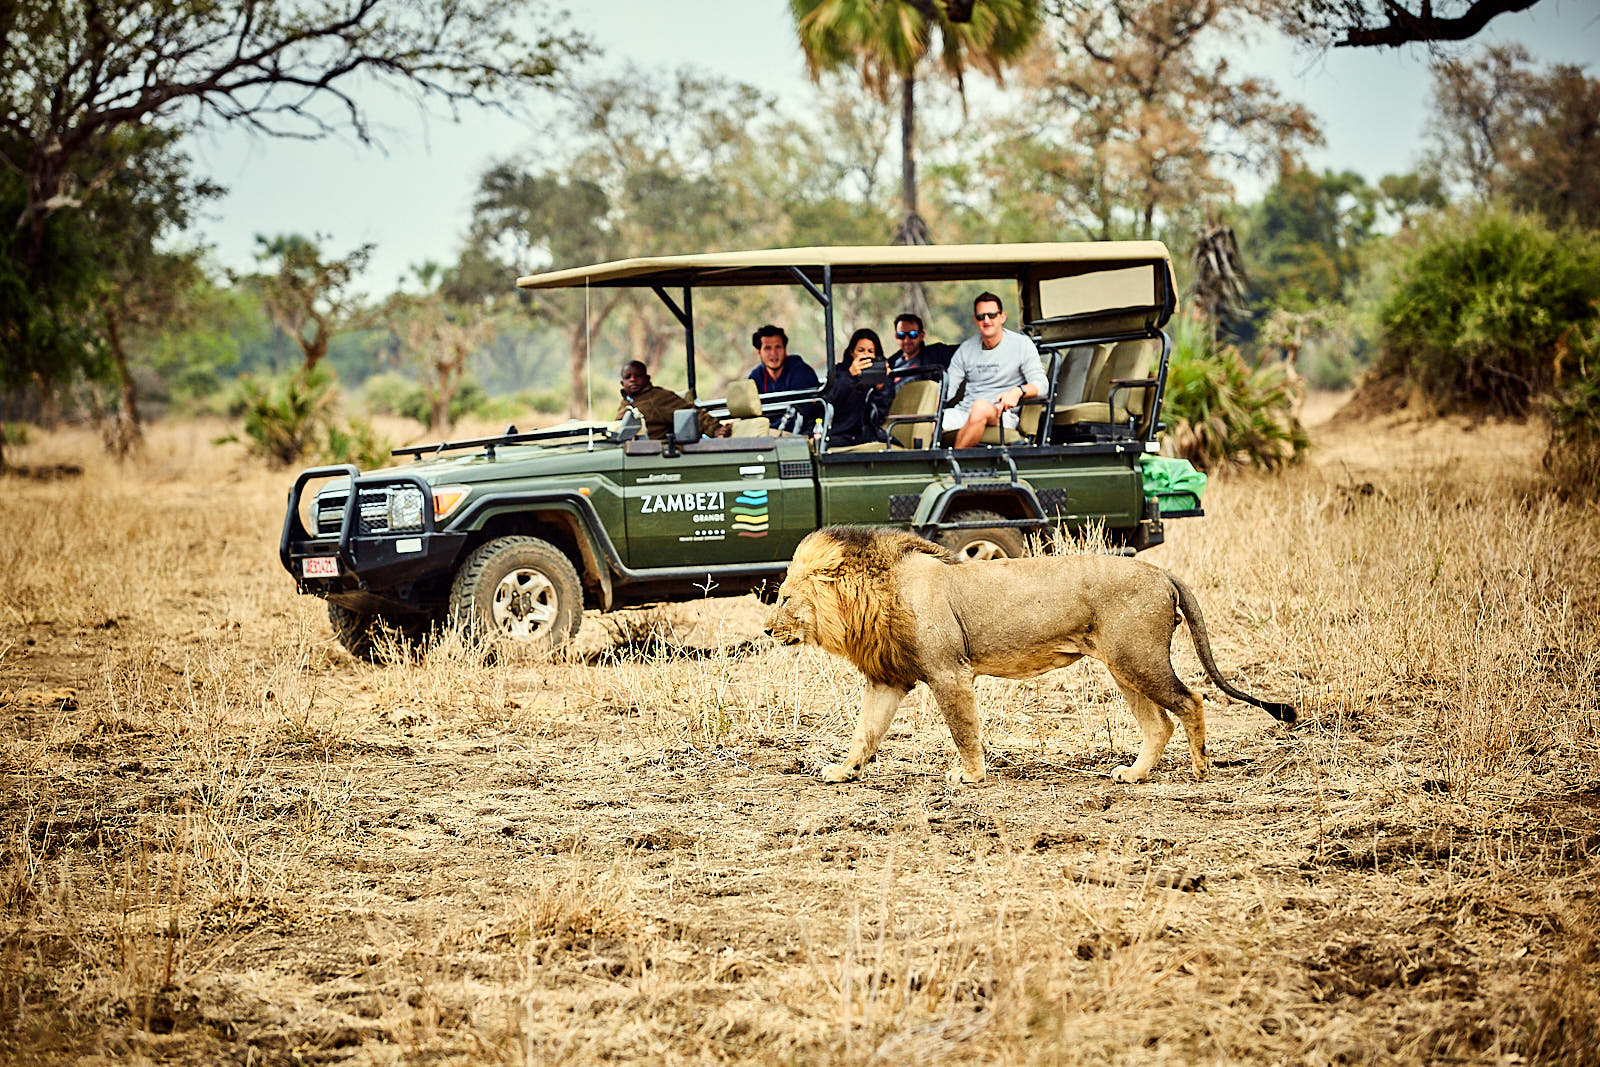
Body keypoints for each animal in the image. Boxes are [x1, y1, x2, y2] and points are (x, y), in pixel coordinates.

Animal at [763, 526, 1295, 788]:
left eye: (785, 598)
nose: (766, 630)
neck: (870, 595)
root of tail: (1161, 570)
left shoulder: (948, 672)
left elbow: (963, 731)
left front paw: (970, 777)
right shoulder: (888, 679)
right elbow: (865, 733)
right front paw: (841, 772)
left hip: (1139, 659)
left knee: (1191, 700)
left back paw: (1201, 767)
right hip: (1122, 667)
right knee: (1158, 724)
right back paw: (1133, 775)